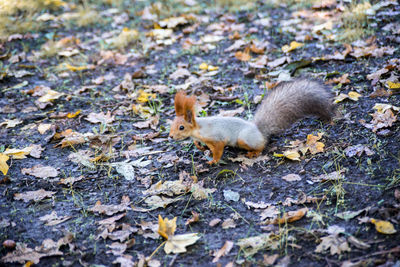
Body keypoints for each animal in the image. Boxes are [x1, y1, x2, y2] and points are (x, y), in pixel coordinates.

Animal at [169, 78, 334, 164]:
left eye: (181, 127)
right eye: (171, 125)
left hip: (244, 139)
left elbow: (218, 150)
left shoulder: (217, 138)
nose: (170, 136)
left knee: (262, 145)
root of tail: (259, 130)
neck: (200, 128)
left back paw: (254, 153)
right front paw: (199, 146)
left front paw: (213, 161)